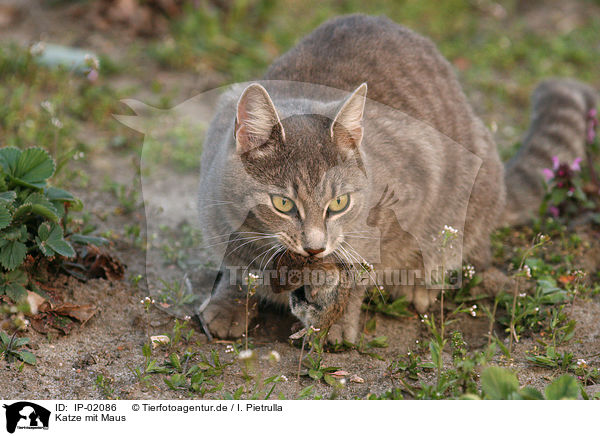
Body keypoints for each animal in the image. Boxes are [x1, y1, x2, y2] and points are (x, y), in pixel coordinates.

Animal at [197, 12, 596, 340]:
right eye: (283, 203)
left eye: (339, 203)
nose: (314, 247)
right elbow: (235, 266)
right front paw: (228, 306)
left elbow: (359, 273)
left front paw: (335, 323)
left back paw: (421, 286)